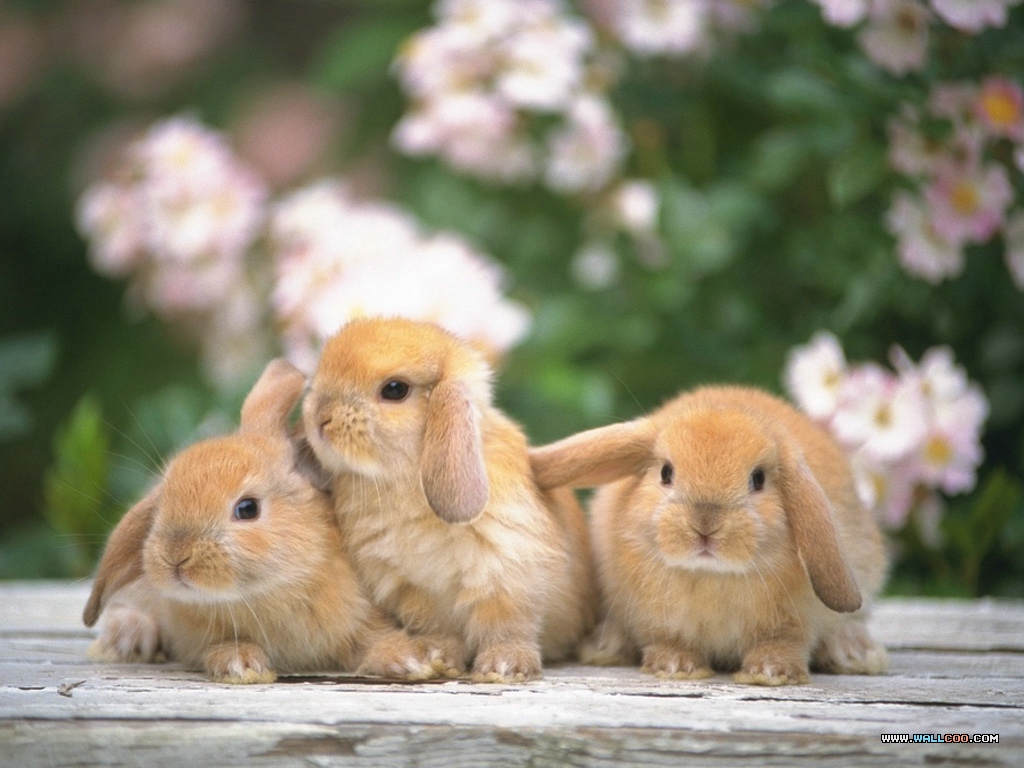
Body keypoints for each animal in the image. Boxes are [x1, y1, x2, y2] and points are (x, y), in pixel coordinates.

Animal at [83, 358, 445, 684]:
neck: (271, 592)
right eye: (161, 505)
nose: (176, 555)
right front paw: (240, 664)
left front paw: (412, 660)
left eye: (247, 508)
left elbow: (375, 642)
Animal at [300, 316, 597, 683]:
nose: (319, 418)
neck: (406, 482)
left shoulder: (507, 577)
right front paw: (436, 658)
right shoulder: (413, 591)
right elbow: (438, 629)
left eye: (395, 390)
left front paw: (504, 666)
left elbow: (507, 626)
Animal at [529, 385, 889, 686]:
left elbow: (783, 644)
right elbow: (667, 640)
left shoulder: (792, 623)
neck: (710, 575)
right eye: (666, 473)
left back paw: (855, 653)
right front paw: (675, 666)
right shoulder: (656, 620)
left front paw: (771, 672)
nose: (705, 524)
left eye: (758, 479)